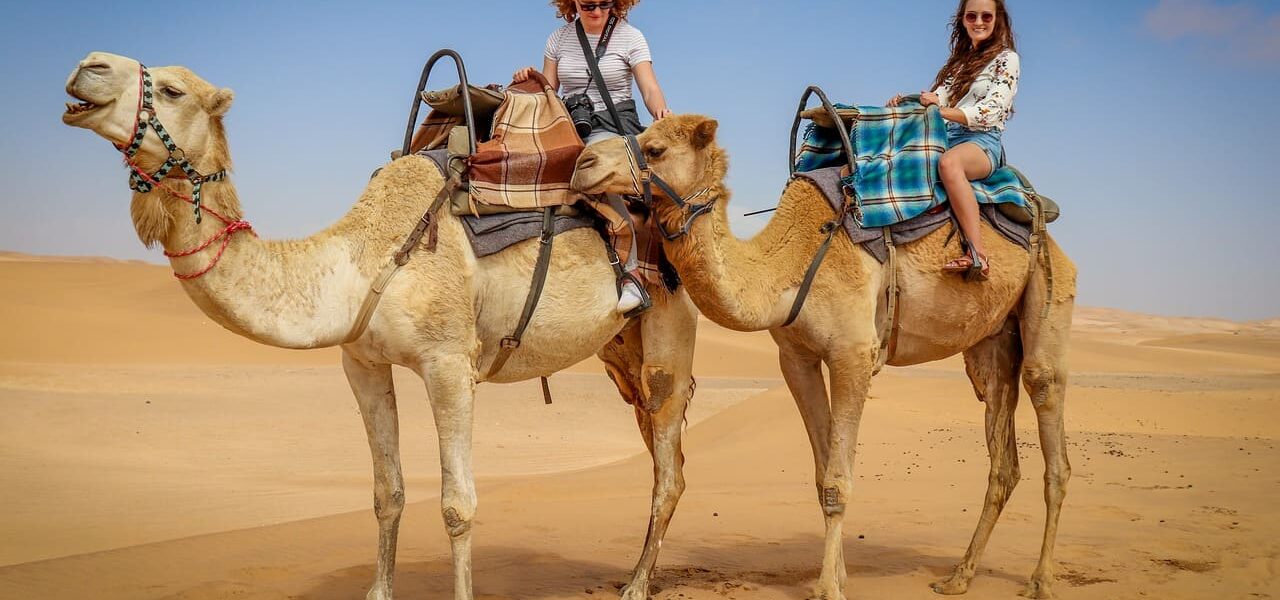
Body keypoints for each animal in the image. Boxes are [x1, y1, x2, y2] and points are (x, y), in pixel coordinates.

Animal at [62, 50, 701, 598]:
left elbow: (457, 505)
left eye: (172, 90)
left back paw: (637, 584)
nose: (86, 67)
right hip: (620, 349)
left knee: (668, 465)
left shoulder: (449, 362)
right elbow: (386, 492)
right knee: (661, 454)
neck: (360, 258)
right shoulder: (361, 362)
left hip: (670, 326)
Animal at [576, 114, 1075, 596]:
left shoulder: (854, 353)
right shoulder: (796, 359)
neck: (788, 266)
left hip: (1049, 294)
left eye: (655, 148)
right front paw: (839, 578)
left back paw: (1041, 580)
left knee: (1049, 414)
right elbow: (821, 476)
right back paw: (959, 577)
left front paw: (829, 588)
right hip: (992, 342)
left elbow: (838, 481)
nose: (583, 163)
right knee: (1002, 448)